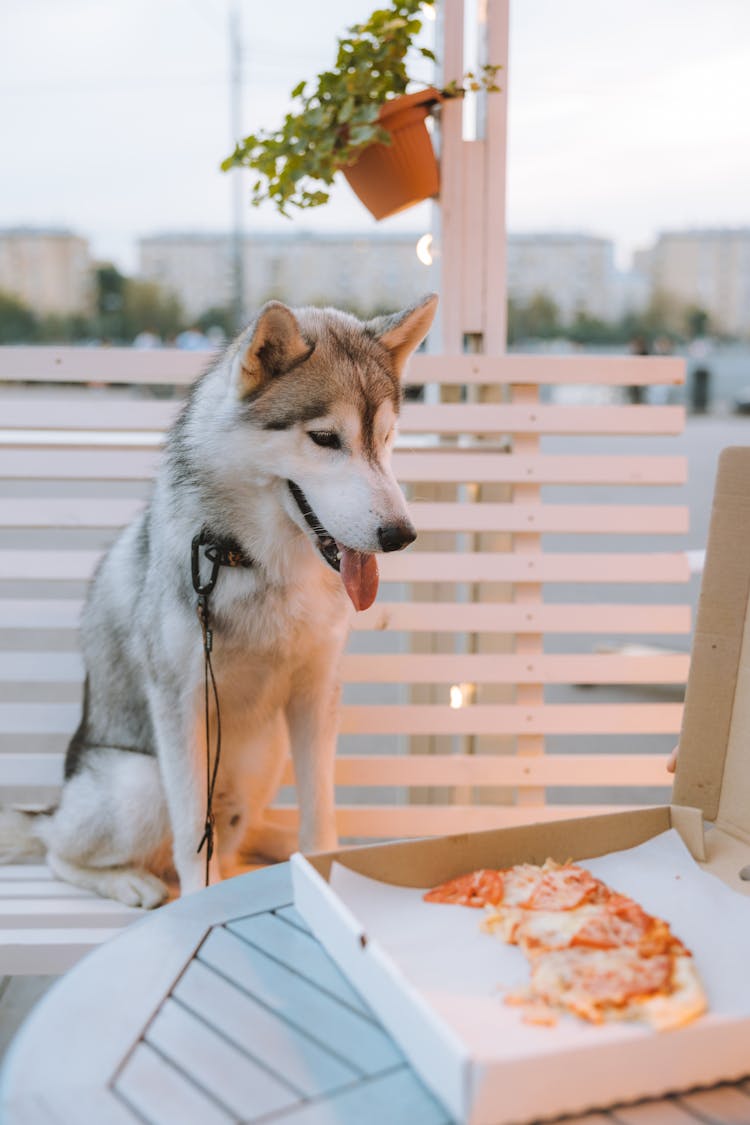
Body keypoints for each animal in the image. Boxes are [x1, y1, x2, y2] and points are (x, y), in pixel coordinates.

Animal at [0, 294, 436, 909]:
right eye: (326, 439)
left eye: (387, 438)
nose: (401, 534)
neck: (254, 562)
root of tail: (54, 808)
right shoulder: (180, 702)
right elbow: (191, 834)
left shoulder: (315, 693)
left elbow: (320, 811)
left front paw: (320, 862)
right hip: (139, 786)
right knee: (59, 853)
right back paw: (130, 879)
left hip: (265, 754)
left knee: (241, 833)